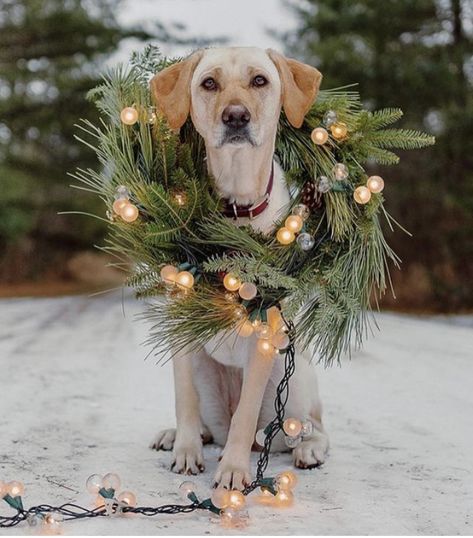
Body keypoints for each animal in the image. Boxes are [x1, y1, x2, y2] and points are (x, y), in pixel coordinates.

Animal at [149, 48, 326, 488]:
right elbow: (183, 399)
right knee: (208, 422)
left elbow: (245, 418)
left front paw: (232, 470)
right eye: (208, 83)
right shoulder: (181, 324)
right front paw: (185, 451)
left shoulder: (265, 331)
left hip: (293, 376)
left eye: (260, 81)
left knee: (309, 426)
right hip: (200, 365)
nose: (235, 116)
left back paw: (309, 449)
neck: (234, 212)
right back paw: (179, 435)